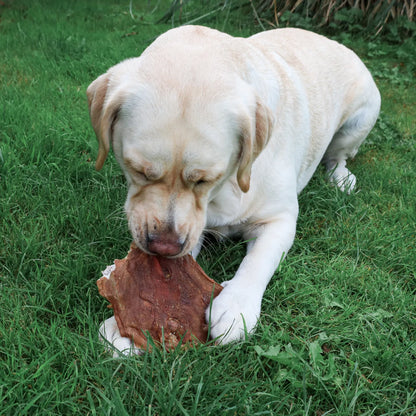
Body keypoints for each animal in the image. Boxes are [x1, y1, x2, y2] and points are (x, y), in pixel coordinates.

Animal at [87, 25, 380, 352]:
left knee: (338, 156)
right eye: (137, 170)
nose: (164, 247)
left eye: (205, 179)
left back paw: (341, 178)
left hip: (358, 122)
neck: (222, 193)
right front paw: (124, 323)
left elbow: (257, 261)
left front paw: (236, 307)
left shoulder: (279, 220)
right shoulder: (193, 228)